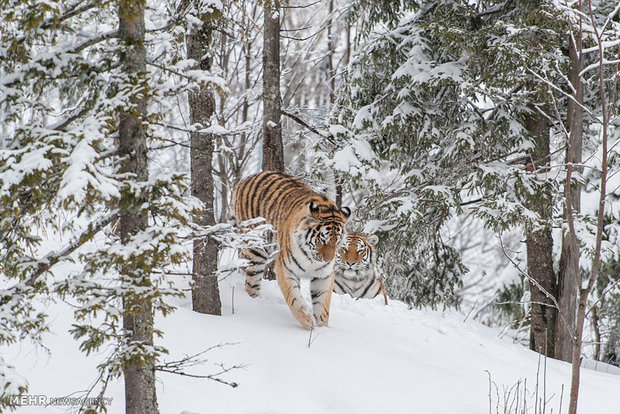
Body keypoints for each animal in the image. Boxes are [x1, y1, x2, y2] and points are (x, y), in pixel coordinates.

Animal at [231, 171, 352, 330]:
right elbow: (293, 296)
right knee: (251, 281)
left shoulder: (323, 275)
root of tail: (245, 179)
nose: (328, 260)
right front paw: (307, 320)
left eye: (337, 241)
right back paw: (254, 302)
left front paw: (322, 328)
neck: (312, 259)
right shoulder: (285, 267)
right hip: (256, 248)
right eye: (322, 239)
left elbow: (322, 305)